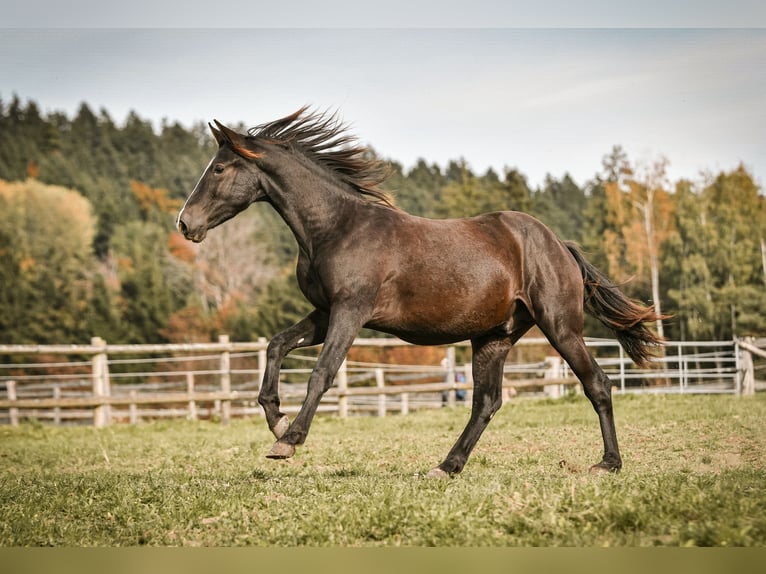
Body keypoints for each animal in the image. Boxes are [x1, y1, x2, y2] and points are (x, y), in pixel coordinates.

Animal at [177, 107, 663, 477]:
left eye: (219, 168)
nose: (185, 223)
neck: (335, 227)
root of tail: (557, 244)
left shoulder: (350, 312)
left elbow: (322, 374)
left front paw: (289, 440)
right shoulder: (325, 312)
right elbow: (276, 346)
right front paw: (276, 421)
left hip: (560, 327)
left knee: (597, 384)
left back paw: (608, 464)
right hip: (493, 336)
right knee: (486, 403)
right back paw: (446, 467)